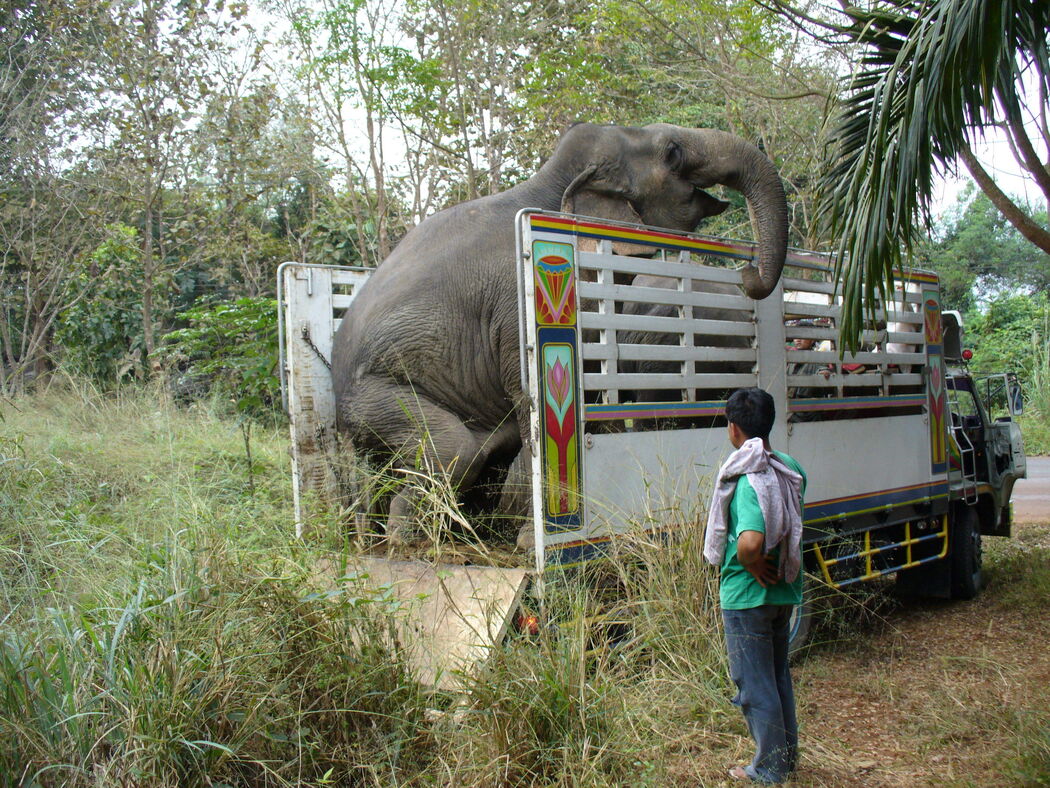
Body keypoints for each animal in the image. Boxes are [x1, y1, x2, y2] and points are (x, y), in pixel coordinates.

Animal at [329, 121, 789, 550]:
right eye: (672, 152)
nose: (748, 273)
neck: (552, 182)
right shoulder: (520, 303)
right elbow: (532, 400)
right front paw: (530, 543)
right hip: (375, 398)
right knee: (455, 449)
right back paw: (408, 540)